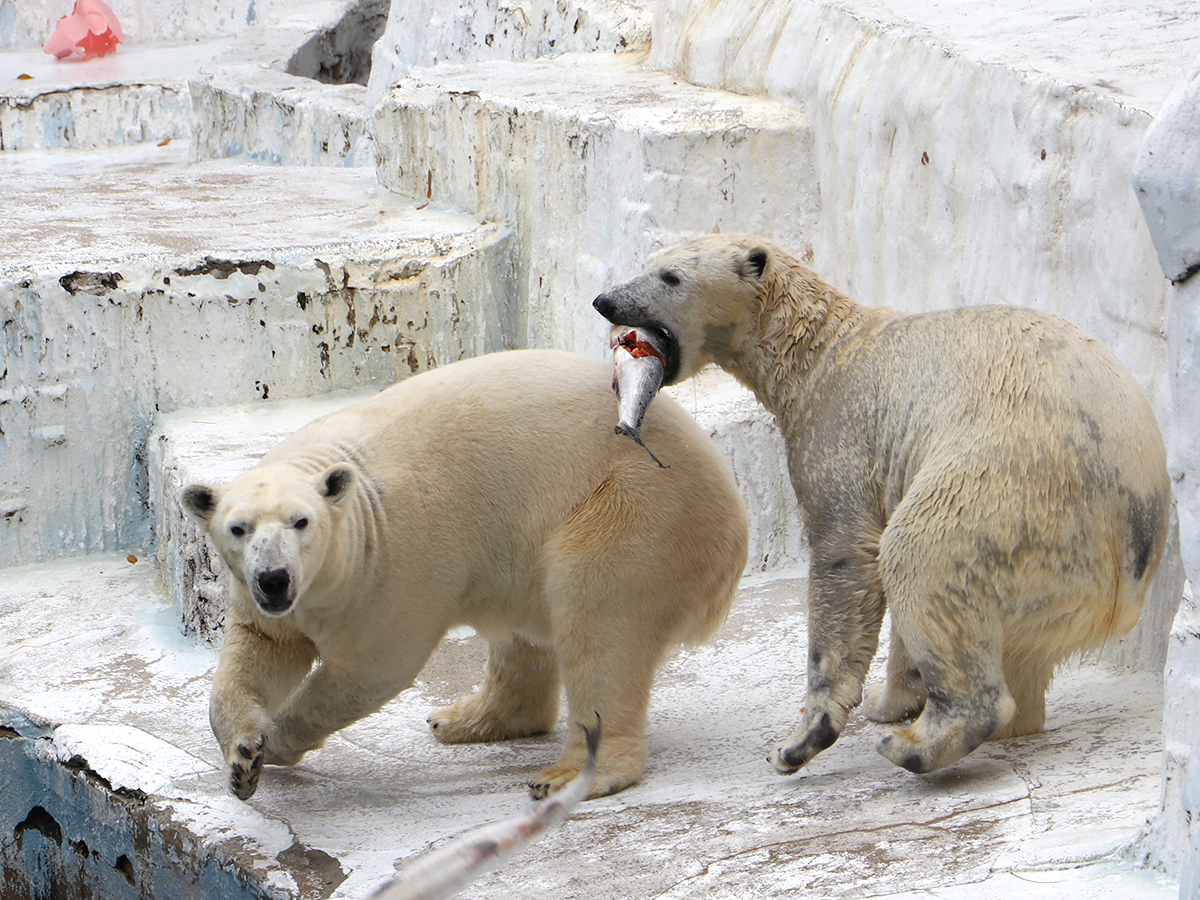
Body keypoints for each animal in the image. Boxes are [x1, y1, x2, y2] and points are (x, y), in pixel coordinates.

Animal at [177, 348, 744, 801]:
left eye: (302, 521)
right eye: (238, 528)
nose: (274, 578)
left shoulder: (393, 566)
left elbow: (369, 666)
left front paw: (274, 741)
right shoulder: (267, 598)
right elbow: (261, 648)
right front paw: (243, 756)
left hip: (638, 506)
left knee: (599, 619)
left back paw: (569, 776)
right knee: (525, 633)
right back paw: (462, 719)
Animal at [595, 236, 1176, 777]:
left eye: (670, 276)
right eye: (647, 263)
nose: (606, 301)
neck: (820, 350)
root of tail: (1126, 567)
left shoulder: (840, 425)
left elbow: (848, 552)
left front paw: (802, 736)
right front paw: (888, 699)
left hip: (1015, 493)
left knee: (922, 552)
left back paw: (917, 744)